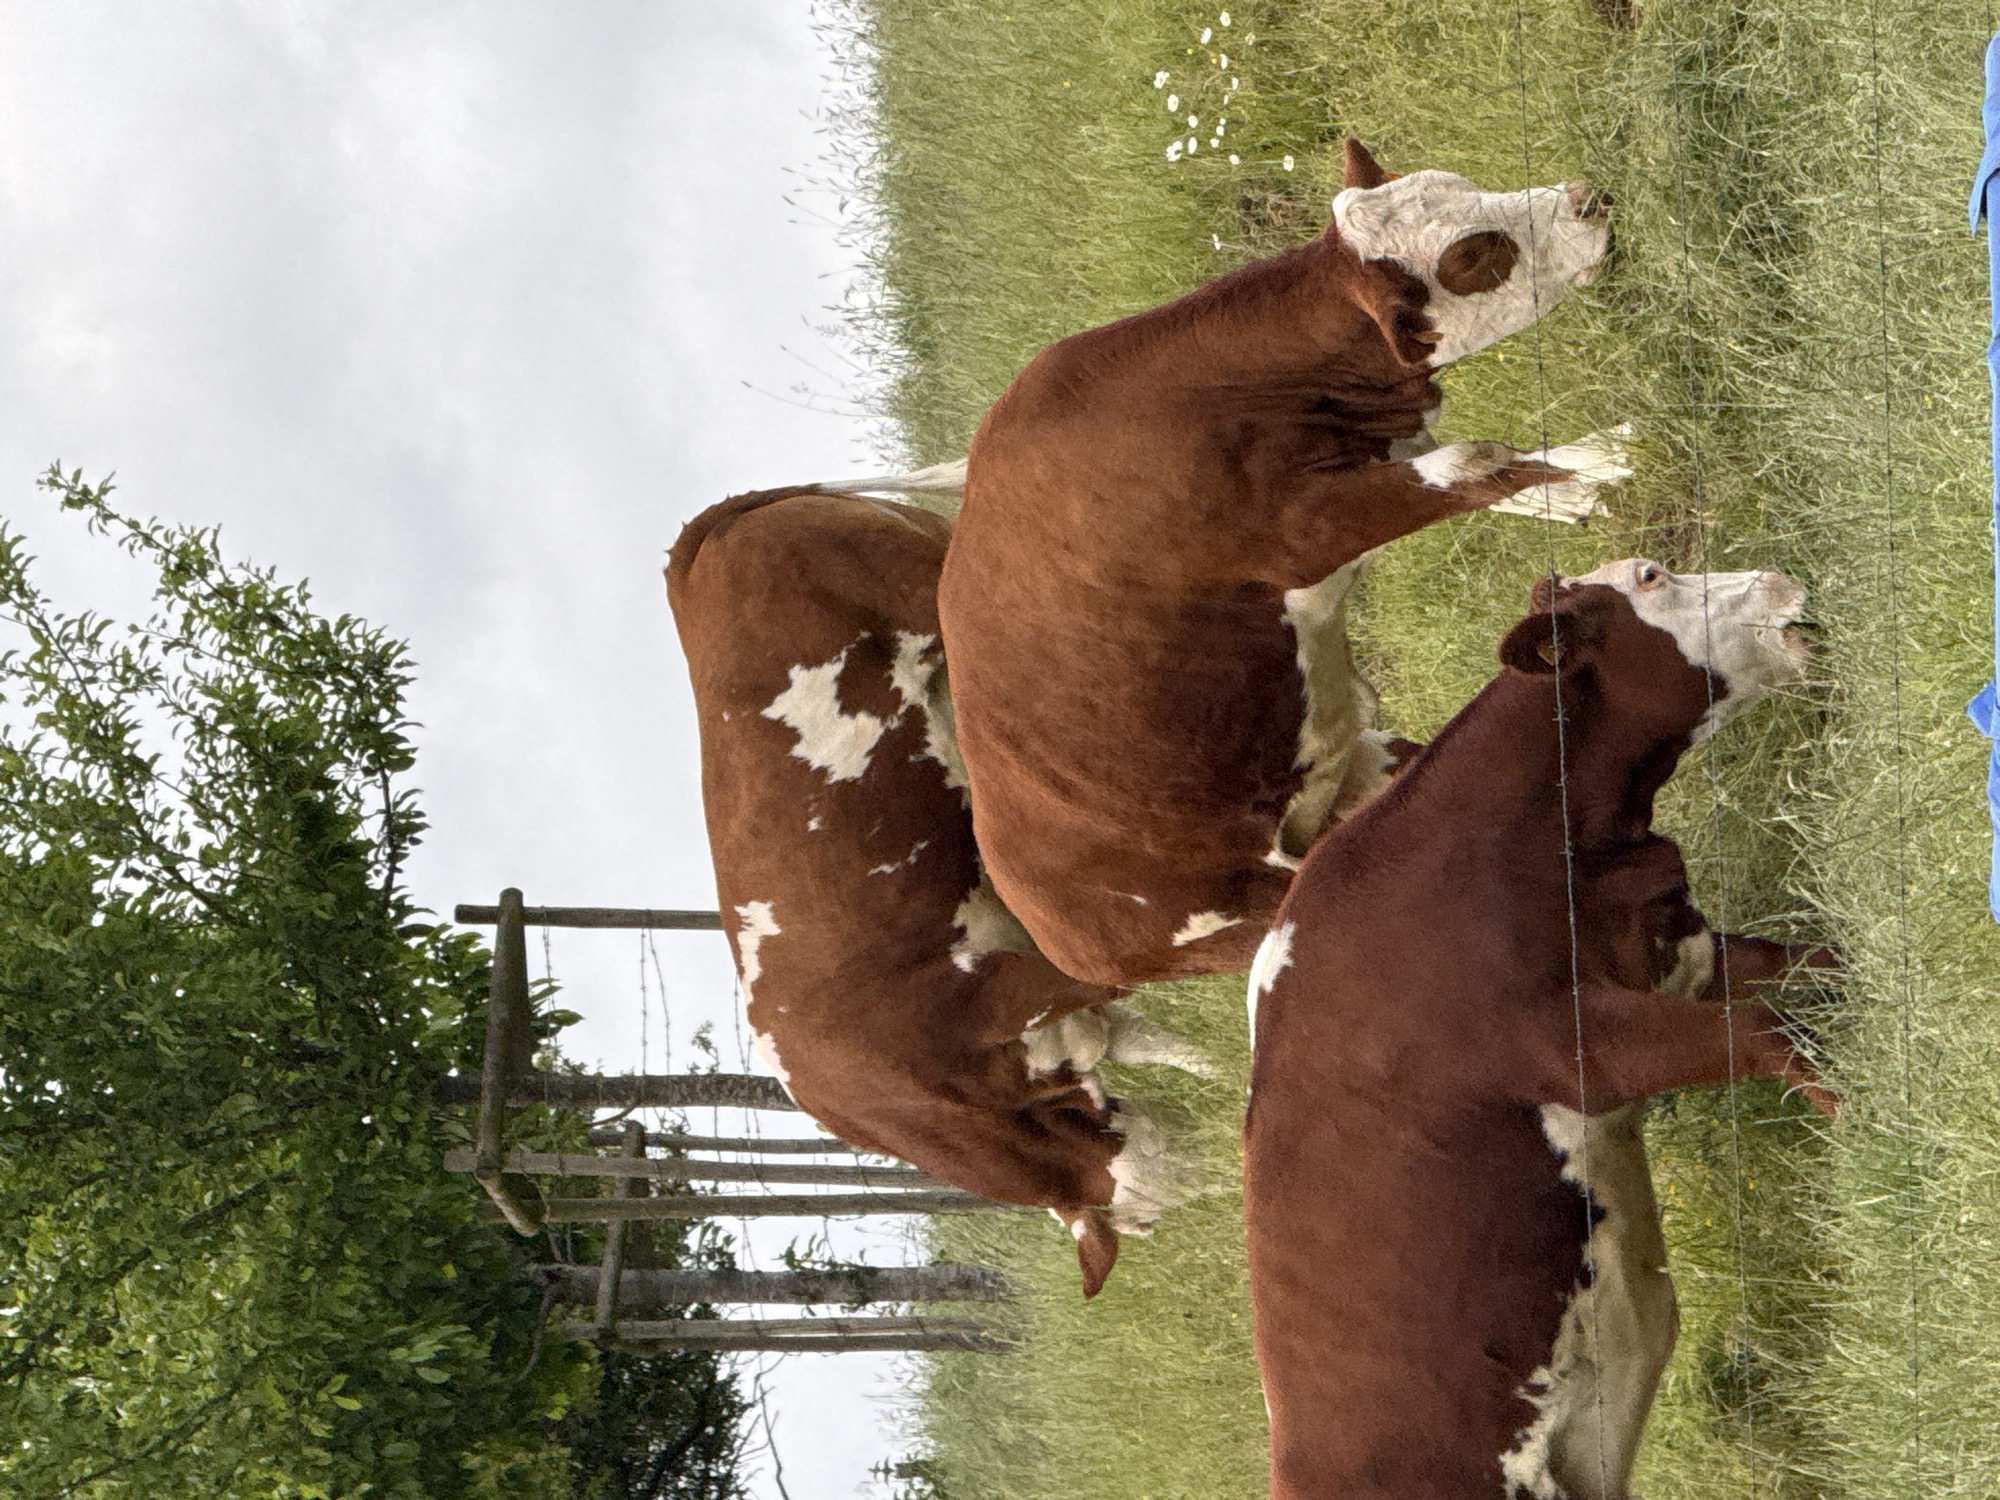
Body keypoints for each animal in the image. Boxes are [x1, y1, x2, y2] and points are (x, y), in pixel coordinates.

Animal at [934, 137, 1631, 988]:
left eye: (1463, 185)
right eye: (1472, 256)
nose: (1586, 200)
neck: (1208, 392)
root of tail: (1051, 930)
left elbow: (1499, 473)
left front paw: (1596, 475)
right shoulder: (1314, 530)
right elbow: (1480, 463)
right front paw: (1624, 459)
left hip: (1350, 776)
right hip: (1257, 902)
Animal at [1241, 559, 1835, 1500]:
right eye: (1651, 578)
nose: (1780, 578)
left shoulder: (1679, 953)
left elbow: (1817, 969)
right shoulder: (1582, 1047)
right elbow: (1768, 1034)